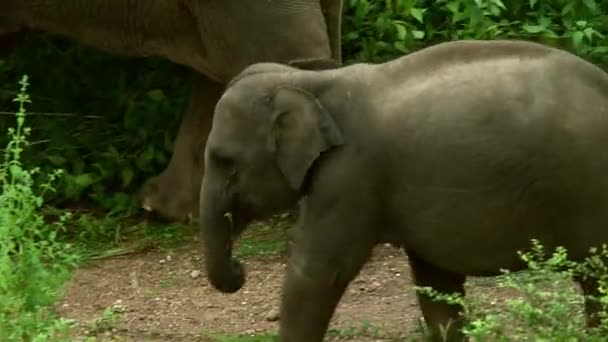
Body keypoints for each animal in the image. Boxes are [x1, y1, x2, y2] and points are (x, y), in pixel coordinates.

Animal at [201, 38, 608, 340]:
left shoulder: (349, 174)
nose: (239, 271)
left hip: (588, 184)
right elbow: (437, 285)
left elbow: (319, 270)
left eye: (224, 161)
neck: (308, 81)